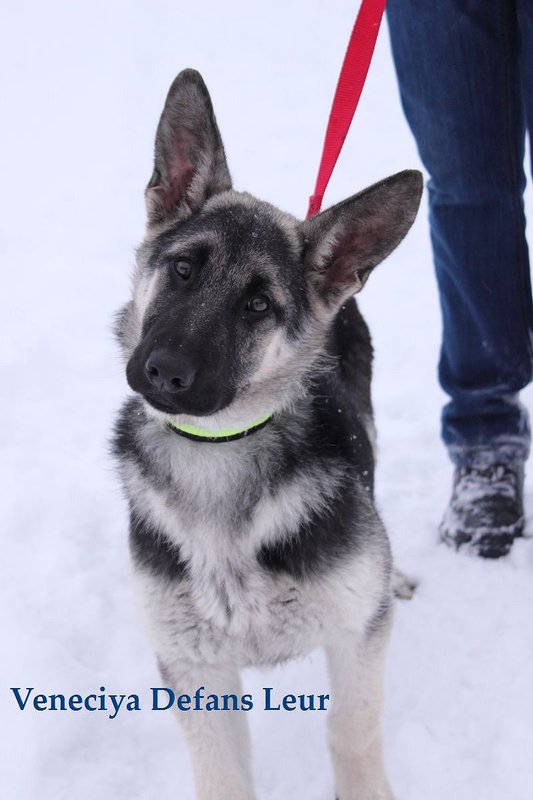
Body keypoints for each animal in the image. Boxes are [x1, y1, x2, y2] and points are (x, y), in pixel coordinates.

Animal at [112, 69, 420, 800]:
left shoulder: (355, 637)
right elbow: (222, 774)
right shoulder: (194, 666)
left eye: (257, 305)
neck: (217, 450)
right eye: (184, 269)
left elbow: (351, 731)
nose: (163, 372)